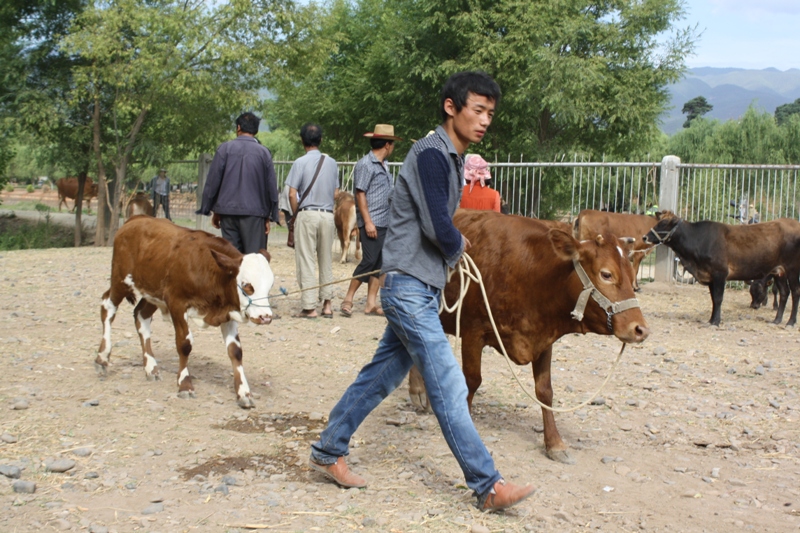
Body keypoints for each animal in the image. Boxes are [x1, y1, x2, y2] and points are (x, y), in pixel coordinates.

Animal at [97, 216, 276, 408]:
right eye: (247, 285)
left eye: (269, 286)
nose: (265, 317)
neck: (208, 269)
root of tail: (136, 219)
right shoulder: (177, 304)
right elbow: (184, 344)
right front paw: (184, 385)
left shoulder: (228, 310)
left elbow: (235, 351)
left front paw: (244, 393)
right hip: (120, 280)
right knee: (107, 306)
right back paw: (102, 358)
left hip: (153, 293)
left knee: (140, 315)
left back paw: (151, 367)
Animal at [410, 210, 648, 464]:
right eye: (606, 274)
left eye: (632, 276)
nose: (640, 329)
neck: (529, 272)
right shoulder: (473, 331)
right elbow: (471, 381)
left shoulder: (544, 339)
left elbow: (545, 391)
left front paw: (554, 443)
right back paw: (418, 392)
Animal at [640, 211, 800, 324]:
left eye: (663, 223)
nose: (645, 237)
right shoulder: (710, 276)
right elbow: (713, 299)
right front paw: (711, 319)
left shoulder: (720, 273)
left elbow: (718, 298)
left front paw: (716, 321)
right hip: (779, 271)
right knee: (784, 292)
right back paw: (777, 320)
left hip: (792, 269)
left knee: (795, 292)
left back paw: (791, 322)